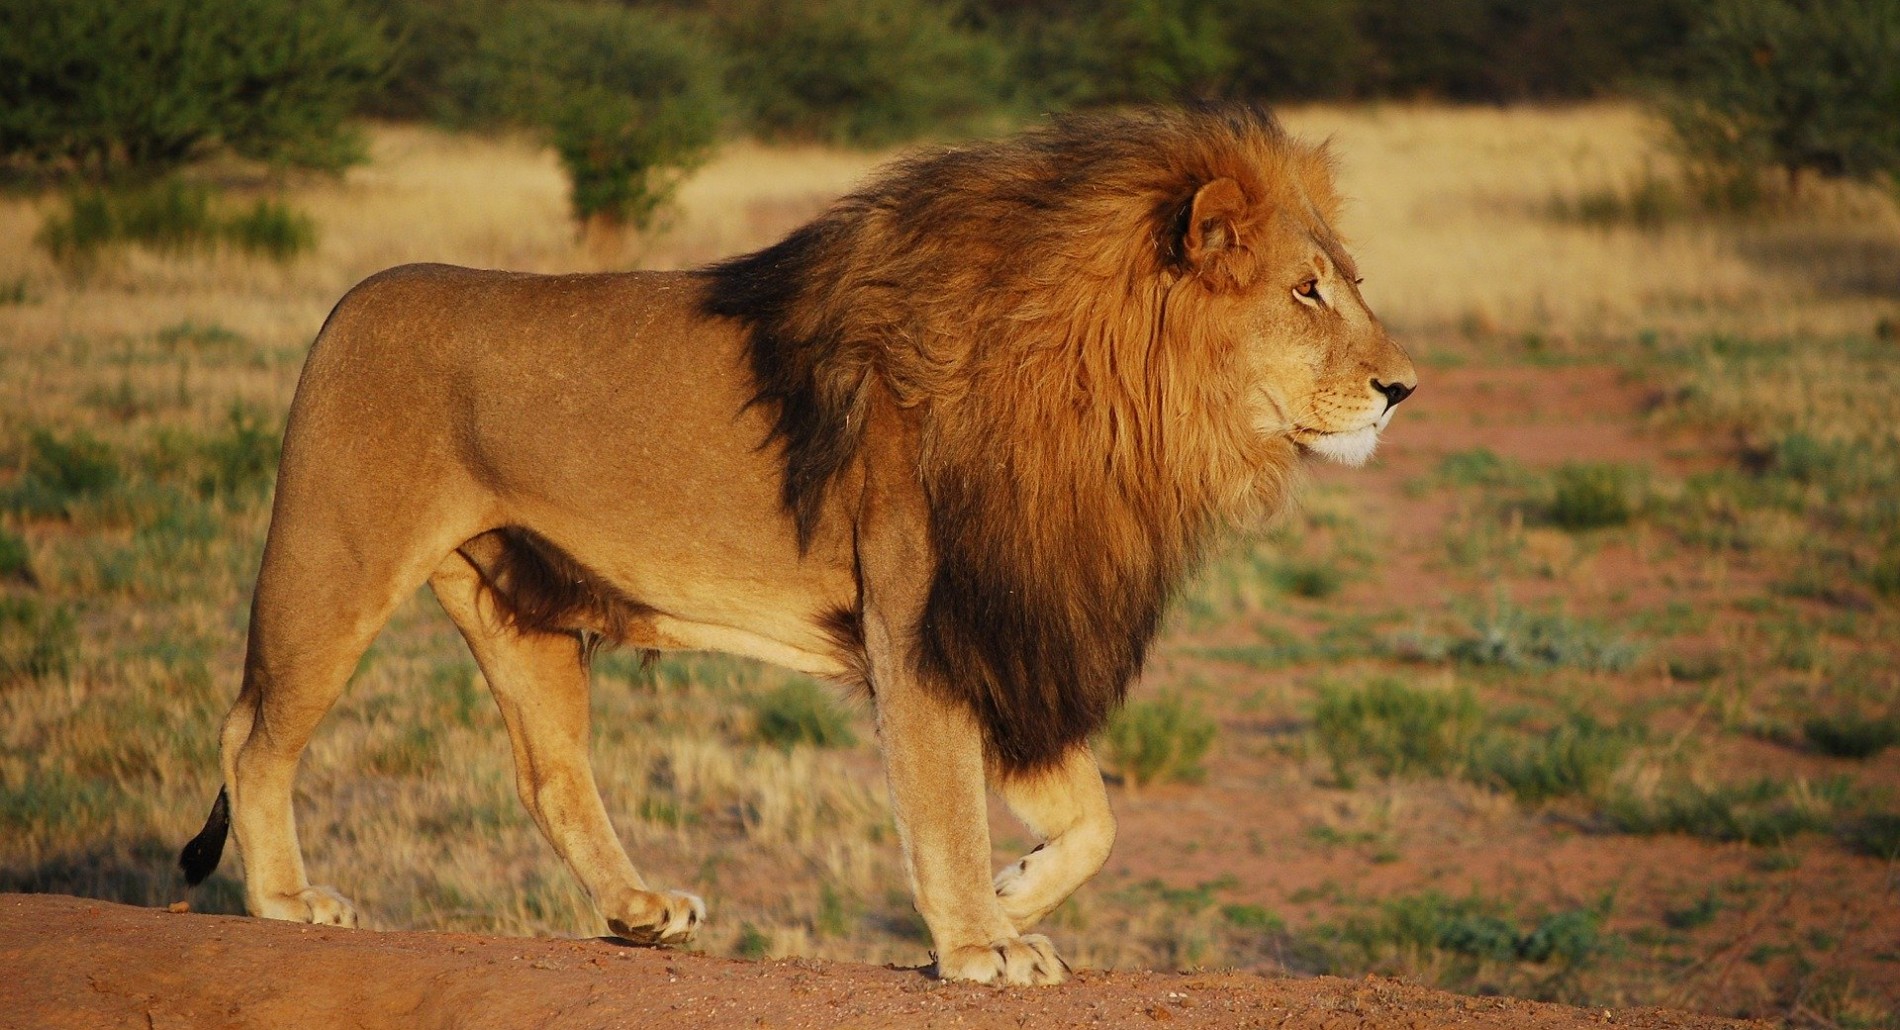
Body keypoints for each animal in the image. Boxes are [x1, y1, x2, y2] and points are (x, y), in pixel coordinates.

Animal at [181, 103, 1413, 988]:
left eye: (1348, 284)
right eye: (1306, 292)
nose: (1404, 388)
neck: (1118, 407)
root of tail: (347, 301)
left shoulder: (1003, 624)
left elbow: (1095, 817)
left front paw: (1012, 895)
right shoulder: (924, 622)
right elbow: (945, 800)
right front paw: (978, 944)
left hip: (516, 602)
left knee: (550, 774)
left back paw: (639, 913)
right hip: (334, 560)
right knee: (253, 731)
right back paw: (288, 900)